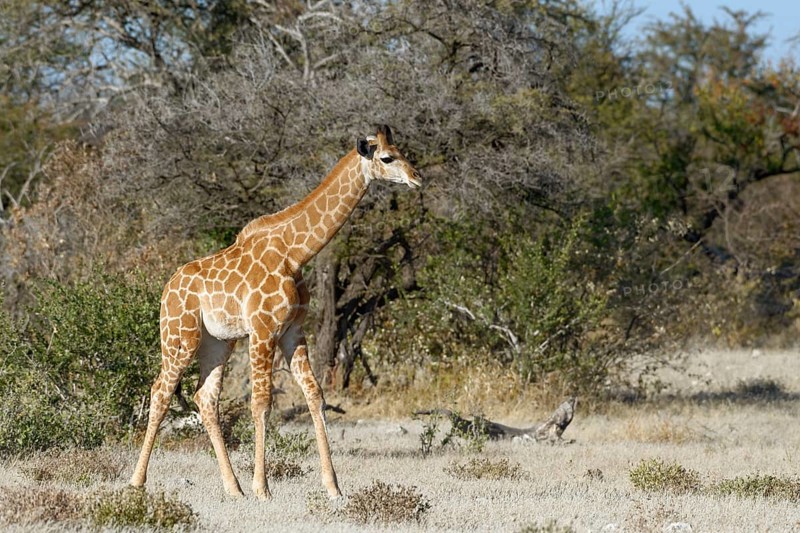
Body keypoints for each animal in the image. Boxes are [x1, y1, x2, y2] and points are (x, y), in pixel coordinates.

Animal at [129, 125, 421, 500]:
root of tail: (167, 288)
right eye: (387, 158)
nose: (417, 178)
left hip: (218, 342)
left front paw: (332, 486)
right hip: (180, 335)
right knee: (161, 391)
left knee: (205, 397)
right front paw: (262, 487)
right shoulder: (263, 328)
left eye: (404, 153)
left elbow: (315, 395)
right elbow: (262, 402)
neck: (295, 254)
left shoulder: (293, 332)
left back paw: (233, 488)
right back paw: (137, 481)